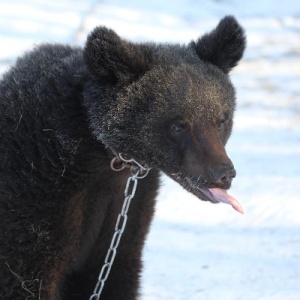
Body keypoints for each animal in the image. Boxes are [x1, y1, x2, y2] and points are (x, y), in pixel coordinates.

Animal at [0, 15, 245, 298]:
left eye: (221, 119)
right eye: (178, 126)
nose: (223, 174)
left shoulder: (127, 214)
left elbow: (115, 274)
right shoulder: (36, 199)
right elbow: (25, 276)